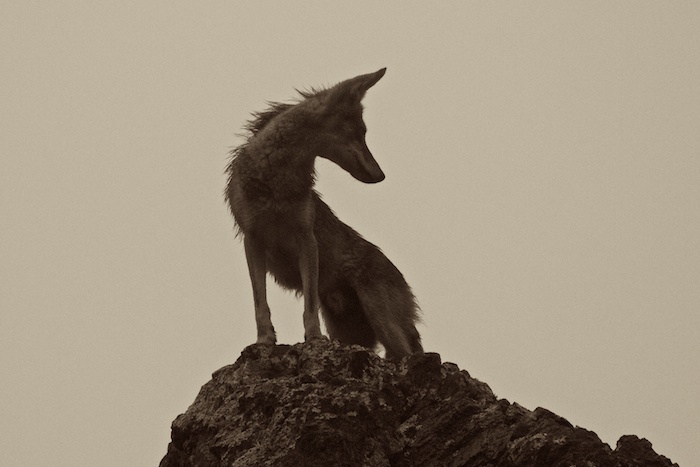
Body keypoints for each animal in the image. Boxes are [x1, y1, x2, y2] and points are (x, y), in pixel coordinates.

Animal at [225, 68, 422, 360]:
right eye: (360, 133)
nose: (381, 176)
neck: (275, 183)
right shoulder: (253, 241)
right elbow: (260, 303)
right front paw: (264, 340)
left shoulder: (306, 239)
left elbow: (308, 304)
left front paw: (314, 339)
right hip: (353, 332)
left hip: (383, 322)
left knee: (406, 353)